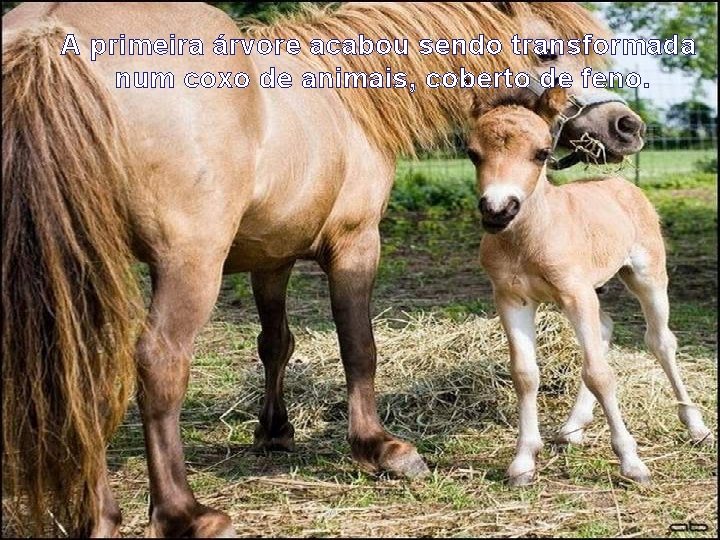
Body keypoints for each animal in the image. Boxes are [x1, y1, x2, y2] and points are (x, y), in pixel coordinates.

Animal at [0, 2, 640, 536]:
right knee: (158, 363)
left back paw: (99, 515)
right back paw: (184, 512)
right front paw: (380, 449)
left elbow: (276, 343)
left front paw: (274, 431)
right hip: (188, 264)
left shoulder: (270, 258)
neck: (347, 97)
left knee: (81, 372)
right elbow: (358, 346)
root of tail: (48, 37)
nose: (624, 125)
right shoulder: (355, 245)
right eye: (548, 53)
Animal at [466, 87, 716, 486]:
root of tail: (622, 183)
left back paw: (697, 428)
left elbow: (600, 374)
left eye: (541, 153)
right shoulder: (511, 298)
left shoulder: (575, 293)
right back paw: (572, 428)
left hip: (646, 276)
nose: (498, 210)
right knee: (605, 328)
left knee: (660, 342)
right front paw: (523, 462)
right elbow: (525, 374)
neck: (528, 238)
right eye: (472, 153)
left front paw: (632, 462)